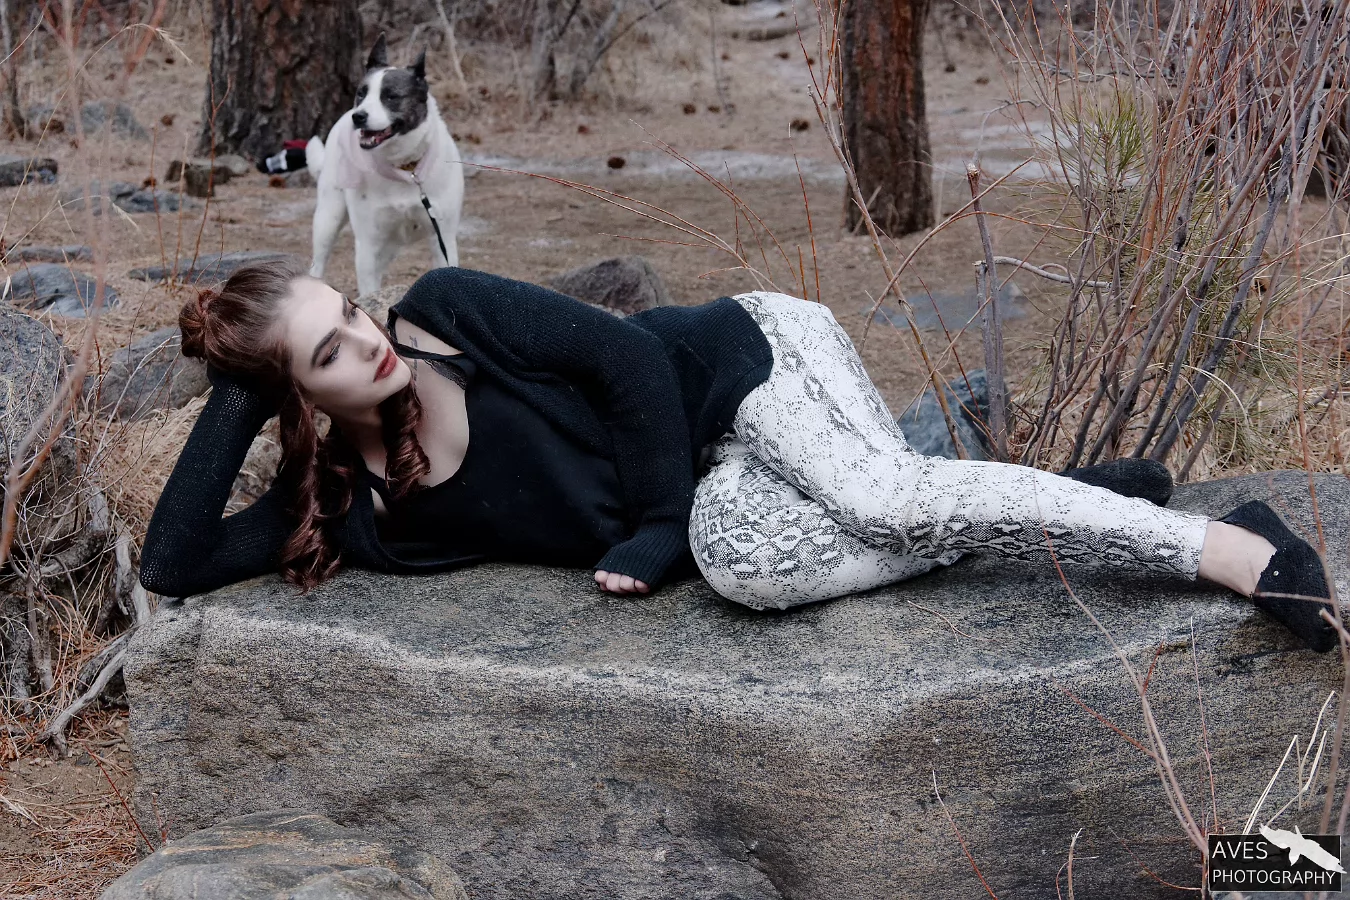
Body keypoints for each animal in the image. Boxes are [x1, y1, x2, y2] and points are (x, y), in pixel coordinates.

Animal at [307, 33, 464, 297]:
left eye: (391, 96)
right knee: (317, 265)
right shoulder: (368, 245)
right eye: (361, 93)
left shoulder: (442, 237)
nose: (358, 116)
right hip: (328, 218)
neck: (405, 170)